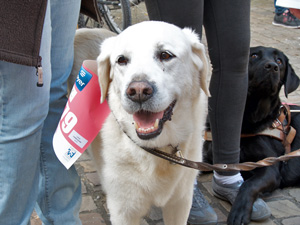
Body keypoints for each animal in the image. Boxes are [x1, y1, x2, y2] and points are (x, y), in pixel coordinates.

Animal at [89, 21, 211, 225]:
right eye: (121, 60)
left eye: (165, 55)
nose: (138, 91)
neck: (158, 150)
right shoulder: (123, 211)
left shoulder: (180, 203)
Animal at [204, 46, 300, 225]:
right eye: (254, 56)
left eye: (279, 61)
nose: (272, 66)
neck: (247, 119)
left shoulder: (270, 166)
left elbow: (249, 184)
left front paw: (239, 212)